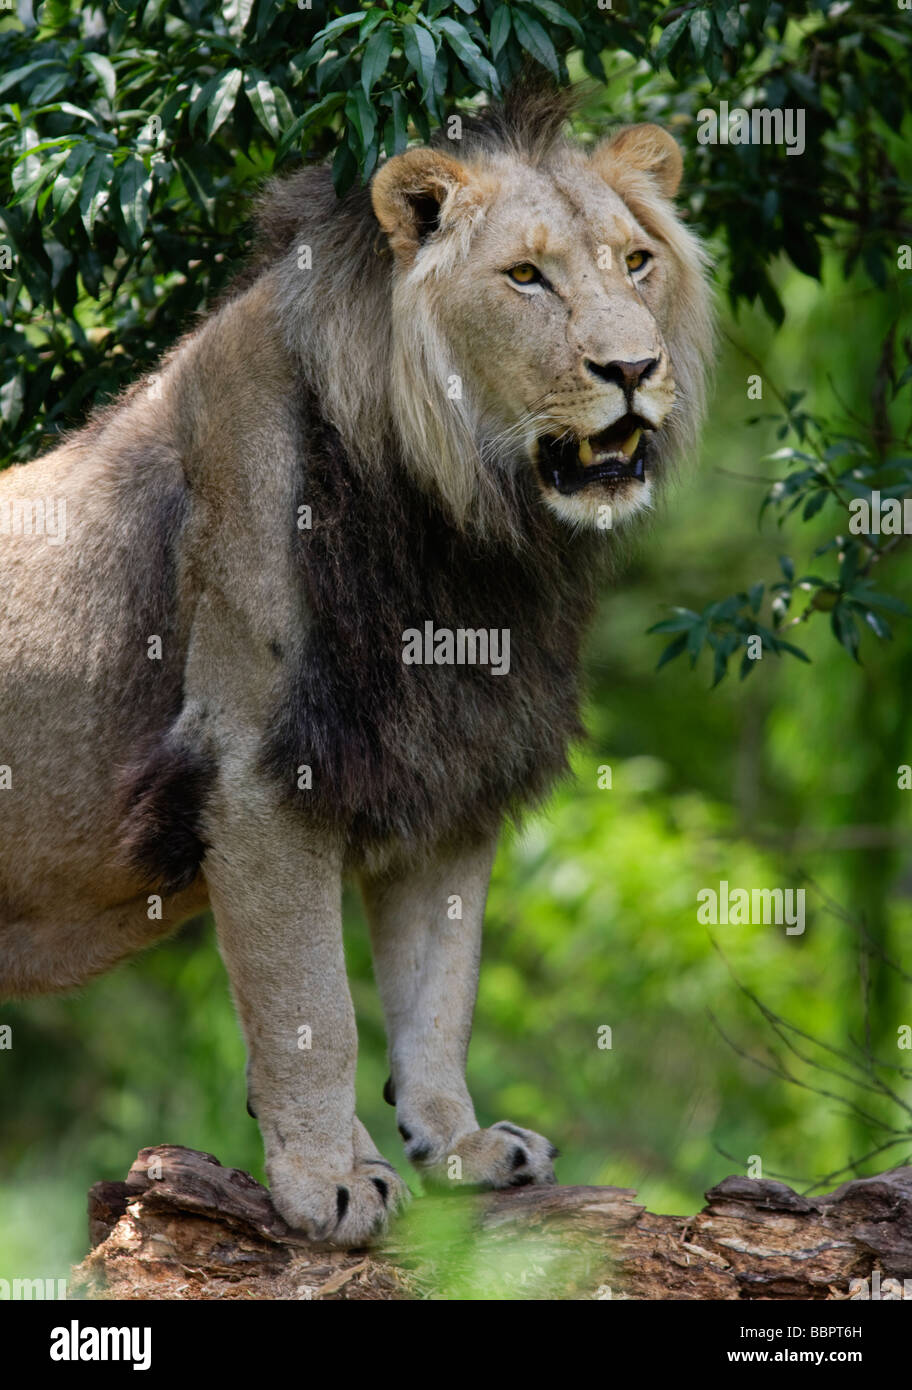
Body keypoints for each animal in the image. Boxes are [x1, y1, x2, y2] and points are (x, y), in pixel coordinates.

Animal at [0, 86, 711, 1245]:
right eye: (527, 276)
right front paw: (327, 1181)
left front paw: (456, 1145)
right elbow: (314, 1011)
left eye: (638, 261)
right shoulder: (255, 776)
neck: (467, 537)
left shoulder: (453, 764)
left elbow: (438, 993)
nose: (633, 372)